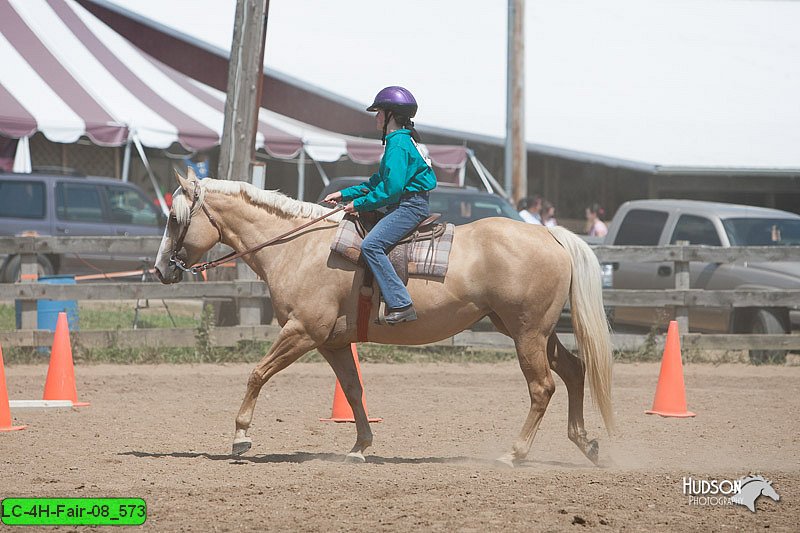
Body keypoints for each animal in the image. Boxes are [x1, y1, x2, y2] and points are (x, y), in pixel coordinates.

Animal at [155, 170, 612, 466]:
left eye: (175, 218)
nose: (161, 270)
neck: (299, 247)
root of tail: (551, 234)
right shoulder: (333, 342)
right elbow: (354, 391)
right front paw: (360, 447)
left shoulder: (302, 332)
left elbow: (257, 374)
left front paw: (240, 437)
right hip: (531, 331)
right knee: (574, 371)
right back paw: (586, 444)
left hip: (527, 334)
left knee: (542, 388)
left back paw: (514, 453)